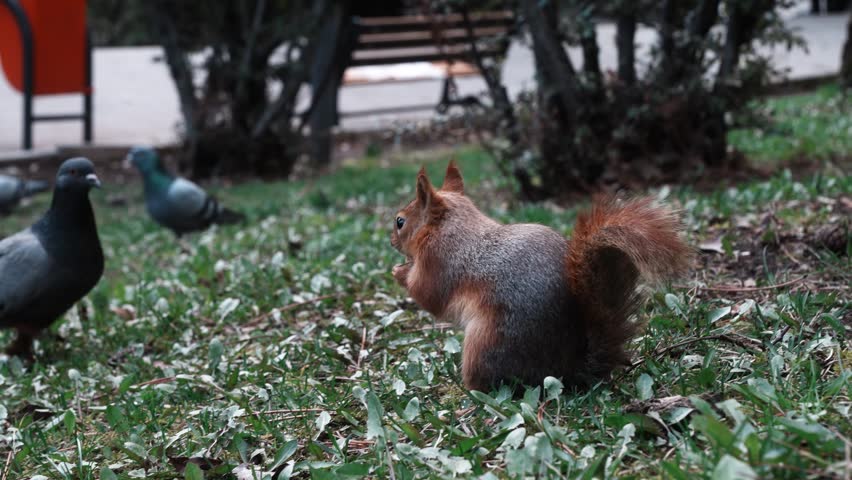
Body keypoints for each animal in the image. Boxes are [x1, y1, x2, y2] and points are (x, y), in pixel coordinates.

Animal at [390, 161, 692, 391]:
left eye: (400, 221)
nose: (391, 241)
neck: (452, 226)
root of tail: (570, 369)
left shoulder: (440, 262)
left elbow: (428, 294)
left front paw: (400, 272)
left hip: (486, 343)